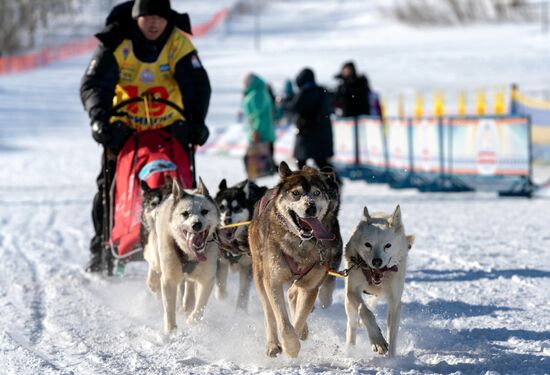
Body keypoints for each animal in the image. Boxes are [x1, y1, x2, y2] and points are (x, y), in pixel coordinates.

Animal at [146, 178, 221, 334]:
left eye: (204, 211)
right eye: (185, 213)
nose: (196, 224)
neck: (190, 254)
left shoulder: (207, 279)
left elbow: (200, 306)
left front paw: (192, 320)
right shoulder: (169, 279)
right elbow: (169, 308)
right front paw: (171, 331)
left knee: (189, 284)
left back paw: (188, 302)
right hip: (157, 254)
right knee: (153, 264)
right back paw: (152, 281)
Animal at [215, 179, 268, 312]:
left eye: (237, 208)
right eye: (221, 207)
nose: (227, 220)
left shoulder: (247, 266)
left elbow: (243, 292)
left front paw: (240, 311)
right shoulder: (221, 260)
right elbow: (220, 289)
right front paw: (223, 299)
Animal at [249, 162, 340, 358]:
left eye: (317, 193)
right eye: (296, 193)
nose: (311, 207)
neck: (299, 243)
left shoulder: (310, 286)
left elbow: (298, 318)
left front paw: (296, 339)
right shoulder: (273, 281)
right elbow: (283, 321)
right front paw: (289, 345)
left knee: (293, 295)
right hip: (260, 276)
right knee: (269, 313)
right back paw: (273, 344)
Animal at [344, 206, 414, 358]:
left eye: (387, 245)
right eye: (368, 245)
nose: (377, 261)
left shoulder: (395, 302)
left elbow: (392, 334)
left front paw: (392, 359)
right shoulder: (352, 291)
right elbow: (365, 311)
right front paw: (377, 341)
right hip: (349, 303)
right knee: (352, 324)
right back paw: (350, 349)